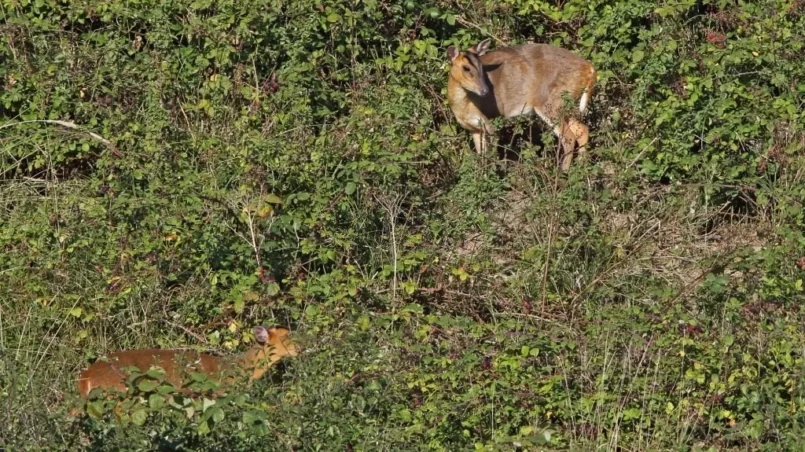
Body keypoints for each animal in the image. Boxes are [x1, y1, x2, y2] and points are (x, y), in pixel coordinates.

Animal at [446, 38, 596, 170]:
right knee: (582, 130)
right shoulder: (475, 129)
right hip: (564, 105)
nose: (485, 90)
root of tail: (590, 68)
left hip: (551, 103)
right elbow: (481, 156)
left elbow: (491, 154)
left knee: (569, 138)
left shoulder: (489, 122)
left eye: (481, 66)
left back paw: (563, 173)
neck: (464, 107)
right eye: (465, 68)